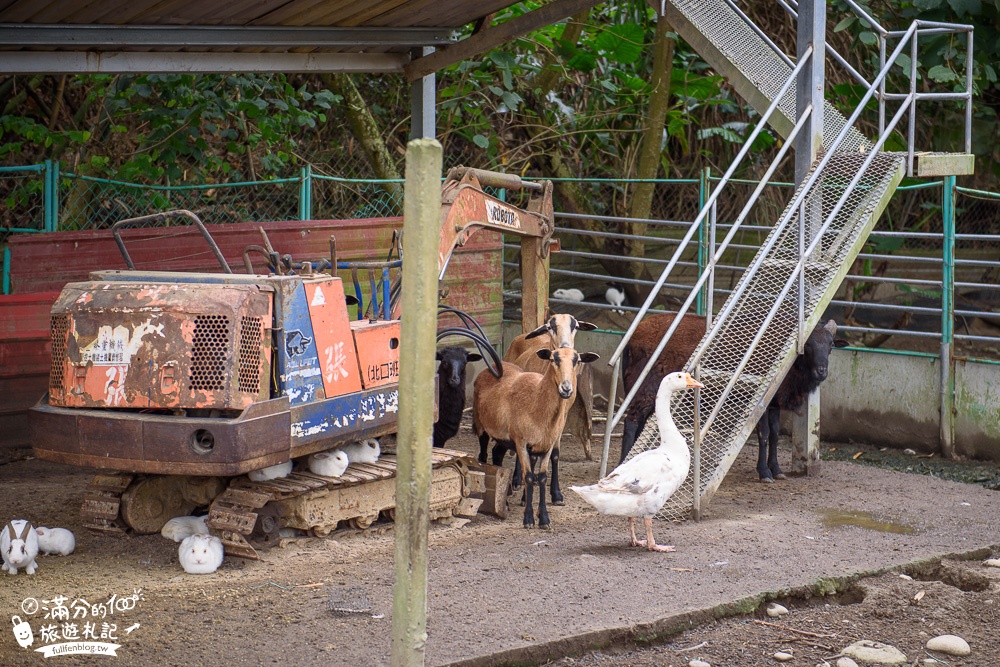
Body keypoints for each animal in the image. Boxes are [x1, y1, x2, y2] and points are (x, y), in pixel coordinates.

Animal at [472, 348, 596, 528]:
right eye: (553, 359)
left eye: (577, 361)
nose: (566, 389)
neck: (537, 400)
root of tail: (493, 366)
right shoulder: (521, 443)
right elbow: (529, 477)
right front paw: (529, 519)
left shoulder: (547, 443)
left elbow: (543, 477)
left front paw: (544, 518)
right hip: (481, 424)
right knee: (483, 455)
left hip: (504, 437)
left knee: (497, 454)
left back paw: (505, 500)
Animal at [756, 320, 844, 482]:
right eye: (807, 345)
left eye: (831, 345)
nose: (821, 371)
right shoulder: (762, 403)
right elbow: (764, 433)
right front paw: (764, 472)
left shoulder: (774, 403)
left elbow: (775, 433)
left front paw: (776, 469)